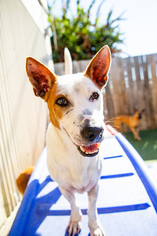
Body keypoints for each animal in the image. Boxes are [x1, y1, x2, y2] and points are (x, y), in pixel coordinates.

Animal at [25, 45, 111, 235]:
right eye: (61, 101)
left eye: (95, 95)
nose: (94, 130)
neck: (76, 156)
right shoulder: (64, 187)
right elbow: (74, 204)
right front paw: (75, 220)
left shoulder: (95, 186)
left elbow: (92, 208)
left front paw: (94, 226)